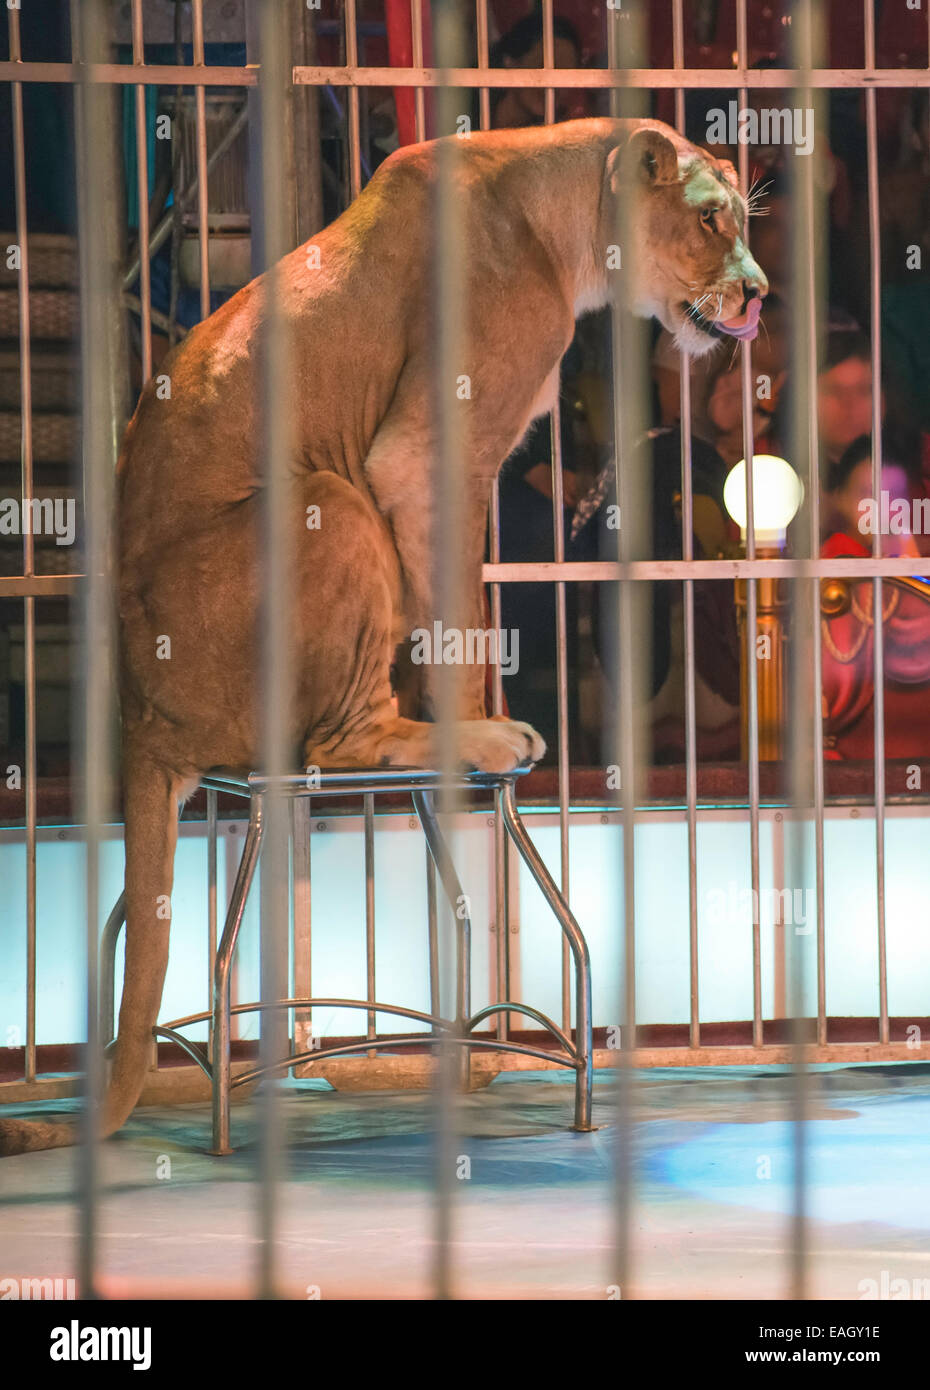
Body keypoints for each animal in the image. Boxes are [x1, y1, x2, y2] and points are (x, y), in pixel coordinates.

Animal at [0, 118, 766, 1155]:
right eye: (710, 218)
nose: (760, 293)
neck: (559, 214)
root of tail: (141, 720)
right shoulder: (425, 455)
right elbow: (459, 618)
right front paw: (481, 727)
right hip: (331, 499)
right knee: (335, 736)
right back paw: (463, 740)